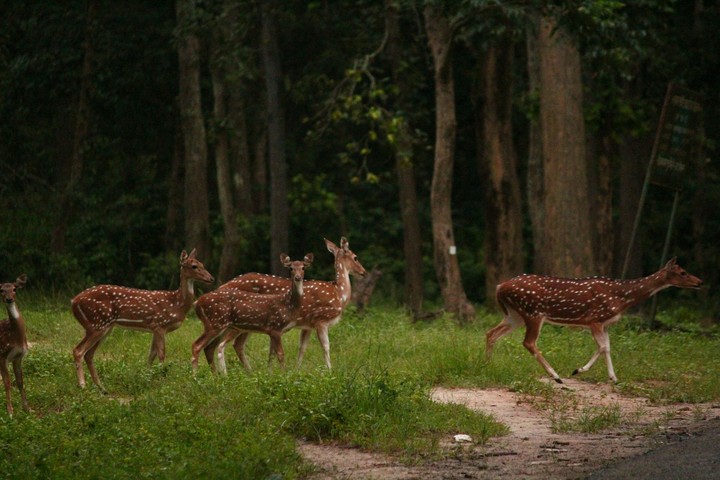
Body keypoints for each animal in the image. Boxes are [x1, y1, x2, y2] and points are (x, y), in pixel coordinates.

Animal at [72, 249, 214, 390]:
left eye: (202, 264)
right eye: (194, 266)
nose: (211, 278)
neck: (176, 304)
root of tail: (74, 302)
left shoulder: (153, 328)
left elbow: (151, 355)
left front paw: (148, 379)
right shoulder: (160, 324)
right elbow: (161, 354)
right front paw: (163, 380)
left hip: (104, 327)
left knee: (89, 354)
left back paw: (101, 387)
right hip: (97, 323)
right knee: (78, 351)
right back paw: (83, 385)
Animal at [215, 237, 367, 373]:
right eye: (355, 257)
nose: (364, 272)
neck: (339, 294)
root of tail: (222, 286)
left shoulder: (307, 325)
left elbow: (302, 348)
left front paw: (295, 371)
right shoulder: (321, 319)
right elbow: (326, 347)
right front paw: (330, 372)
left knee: (237, 345)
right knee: (225, 345)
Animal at [486, 257, 703, 384]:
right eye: (682, 272)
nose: (700, 282)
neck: (621, 297)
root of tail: (499, 286)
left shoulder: (605, 323)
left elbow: (607, 347)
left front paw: (613, 378)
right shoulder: (595, 319)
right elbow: (602, 347)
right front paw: (578, 370)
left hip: (515, 315)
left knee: (491, 333)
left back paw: (489, 365)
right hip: (533, 312)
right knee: (528, 342)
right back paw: (556, 376)